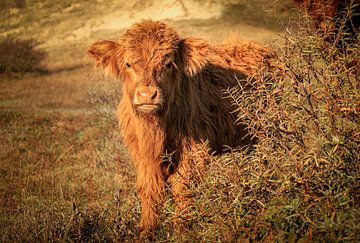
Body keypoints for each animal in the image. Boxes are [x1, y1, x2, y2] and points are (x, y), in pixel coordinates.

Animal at [88, 19, 272, 239]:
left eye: (168, 64)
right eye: (128, 64)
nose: (147, 95)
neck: (156, 128)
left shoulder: (193, 150)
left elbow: (183, 187)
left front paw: (182, 229)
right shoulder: (141, 153)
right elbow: (148, 189)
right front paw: (147, 231)